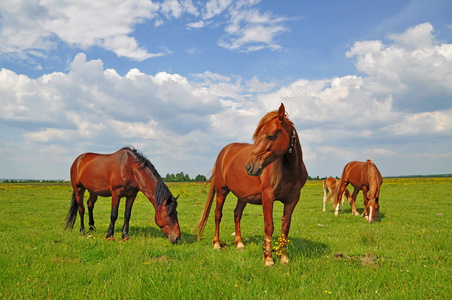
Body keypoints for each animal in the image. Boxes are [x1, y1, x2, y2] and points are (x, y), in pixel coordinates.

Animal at [194, 103, 308, 268]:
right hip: (222, 191)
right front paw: (268, 258)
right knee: (217, 214)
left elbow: (285, 227)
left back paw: (239, 244)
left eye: (270, 135)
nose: (249, 167)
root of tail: (225, 151)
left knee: (237, 214)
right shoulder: (268, 198)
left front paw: (283, 257)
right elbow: (269, 226)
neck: (290, 171)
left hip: (243, 196)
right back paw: (216, 244)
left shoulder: (292, 200)